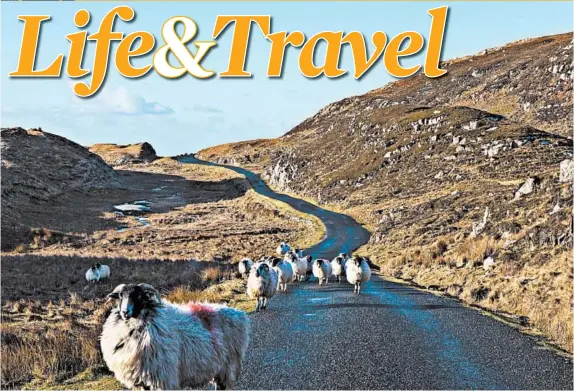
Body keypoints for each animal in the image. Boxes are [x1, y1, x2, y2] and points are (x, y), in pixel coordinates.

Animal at [102, 284, 250, 391]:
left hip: (228, 366)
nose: (124, 312)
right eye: (120, 296)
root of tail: (239, 313)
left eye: (138, 296)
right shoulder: (145, 381)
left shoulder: (163, 378)